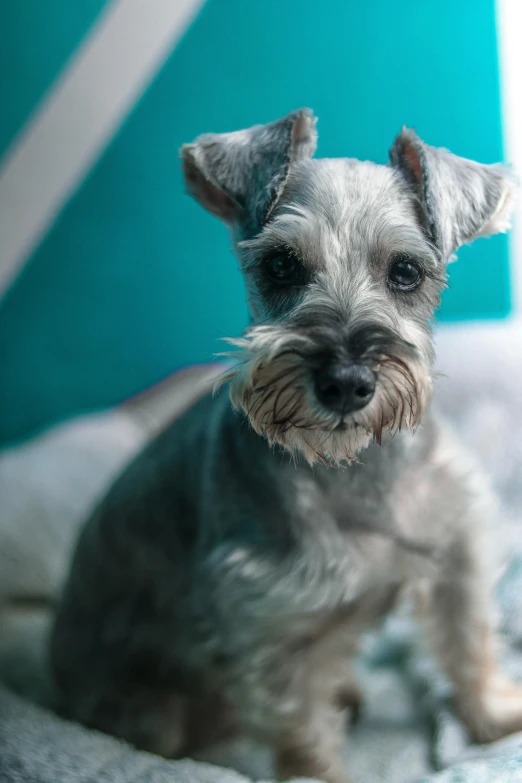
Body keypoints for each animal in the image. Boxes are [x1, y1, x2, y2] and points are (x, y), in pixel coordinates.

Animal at [50, 107, 520, 780]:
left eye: (406, 271)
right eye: (280, 265)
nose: (345, 381)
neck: (355, 468)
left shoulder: (458, 546)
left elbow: (468, 640)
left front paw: (495, 715)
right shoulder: (271, 633)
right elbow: (303, 733)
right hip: (153, 712)